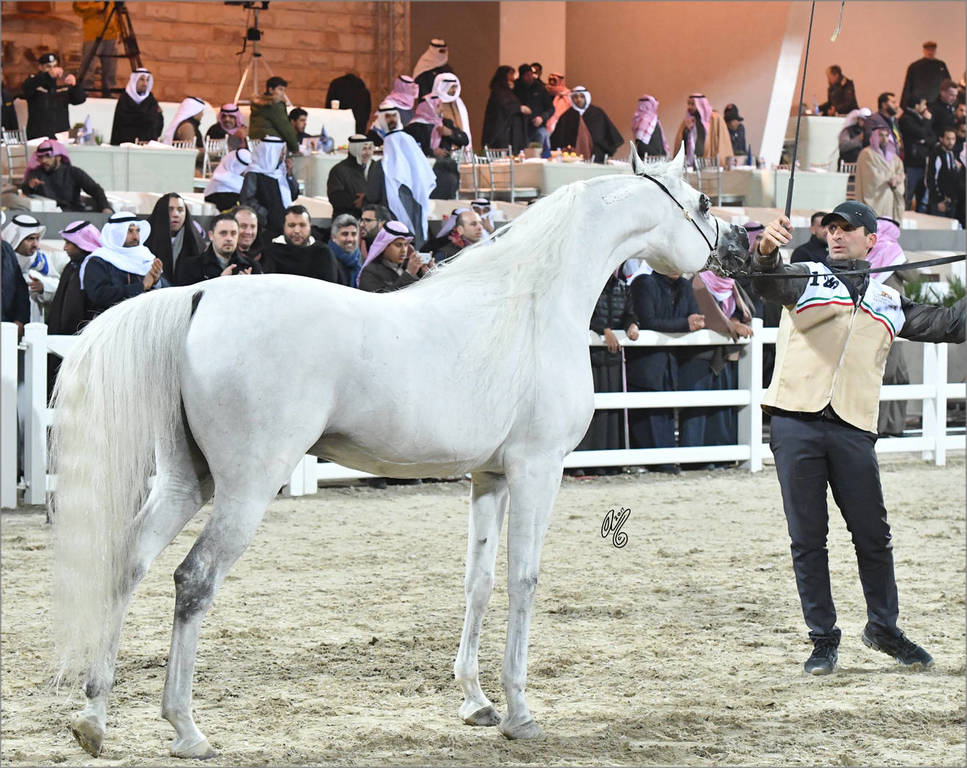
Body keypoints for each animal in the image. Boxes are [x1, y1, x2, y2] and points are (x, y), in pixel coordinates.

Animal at [49, 145, 748, 759]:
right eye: (700, 200)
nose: (738, 248)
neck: (530, 306)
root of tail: (199, 295)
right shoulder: (537, 469)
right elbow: (523, 580)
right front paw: (519, 714)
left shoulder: (490, 477)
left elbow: (479, 580)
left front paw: (476, 702)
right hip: (245, 488)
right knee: (193, 581)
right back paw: (187, 729)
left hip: (186, 481)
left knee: (128, 563)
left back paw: (93, 717)